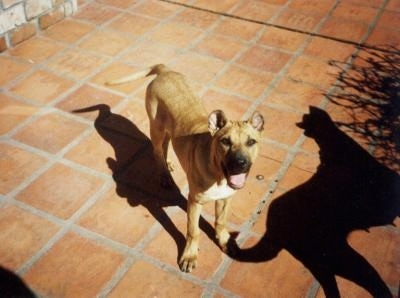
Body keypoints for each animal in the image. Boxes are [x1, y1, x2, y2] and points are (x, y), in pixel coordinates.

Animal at [106, 65, 264, 272]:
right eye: (225, 142)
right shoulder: (194, 201)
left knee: (165, 145)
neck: (218, 175)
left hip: (168, 129)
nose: (240, 163)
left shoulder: (226, 198)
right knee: (158, 150)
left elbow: (221, 221)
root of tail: (165, 71)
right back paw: (164, 175)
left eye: (251, 142)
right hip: (156, 127)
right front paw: (189, 256)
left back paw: (168, 165)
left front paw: (225, 241)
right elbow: (193, 231)